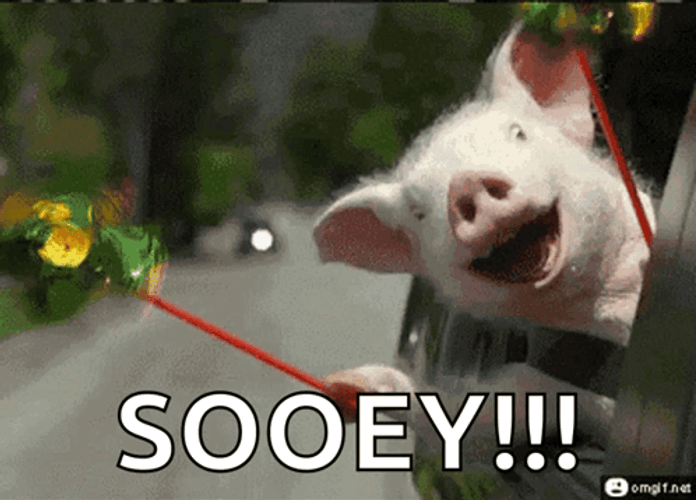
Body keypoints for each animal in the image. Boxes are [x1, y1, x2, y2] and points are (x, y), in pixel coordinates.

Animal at [314, 21, 657, 485]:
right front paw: (345, 386)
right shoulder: (541, 385)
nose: (467, 184)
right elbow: (472, 420)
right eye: (419, 212)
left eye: (518, 133)